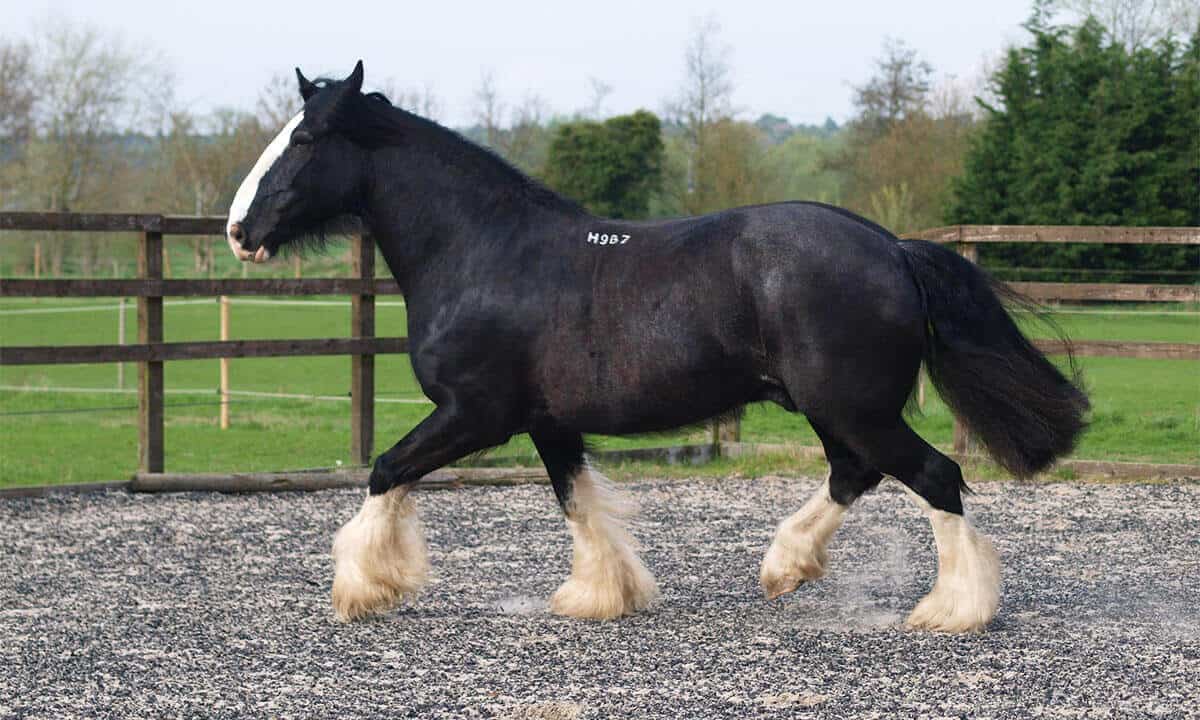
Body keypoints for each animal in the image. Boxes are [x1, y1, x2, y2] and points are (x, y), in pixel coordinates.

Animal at [225, 61, 1088, 633]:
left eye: (307, 139)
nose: (238, 231)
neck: (484, 251)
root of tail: (892, 247)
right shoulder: (546, 423)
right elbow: (577, 502)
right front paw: (600, 596)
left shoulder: (475, 415)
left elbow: (384, 470)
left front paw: (362, 589)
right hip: (834, 407)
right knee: (857, 474)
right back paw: (785, 568)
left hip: (854, 406)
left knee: (935, 477)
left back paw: (952, 610)